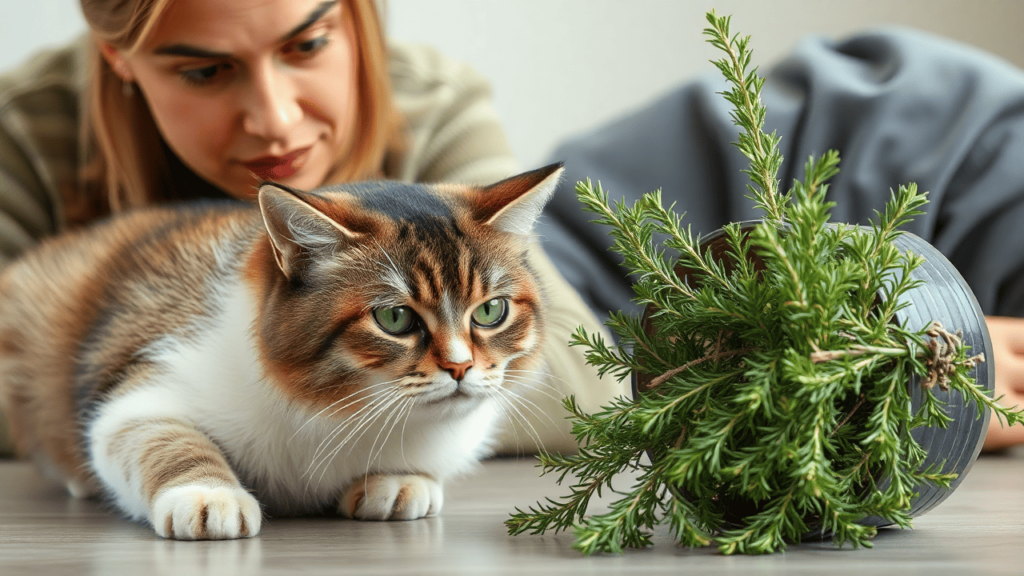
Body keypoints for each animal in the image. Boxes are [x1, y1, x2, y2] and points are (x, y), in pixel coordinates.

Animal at [0, 162, 561, 537]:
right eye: (395, 318)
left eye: (490, 311)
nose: (461, 367)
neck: (334, 408)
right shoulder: (143, 387)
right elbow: (162, 438)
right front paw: (209, 494)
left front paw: (401, 480)